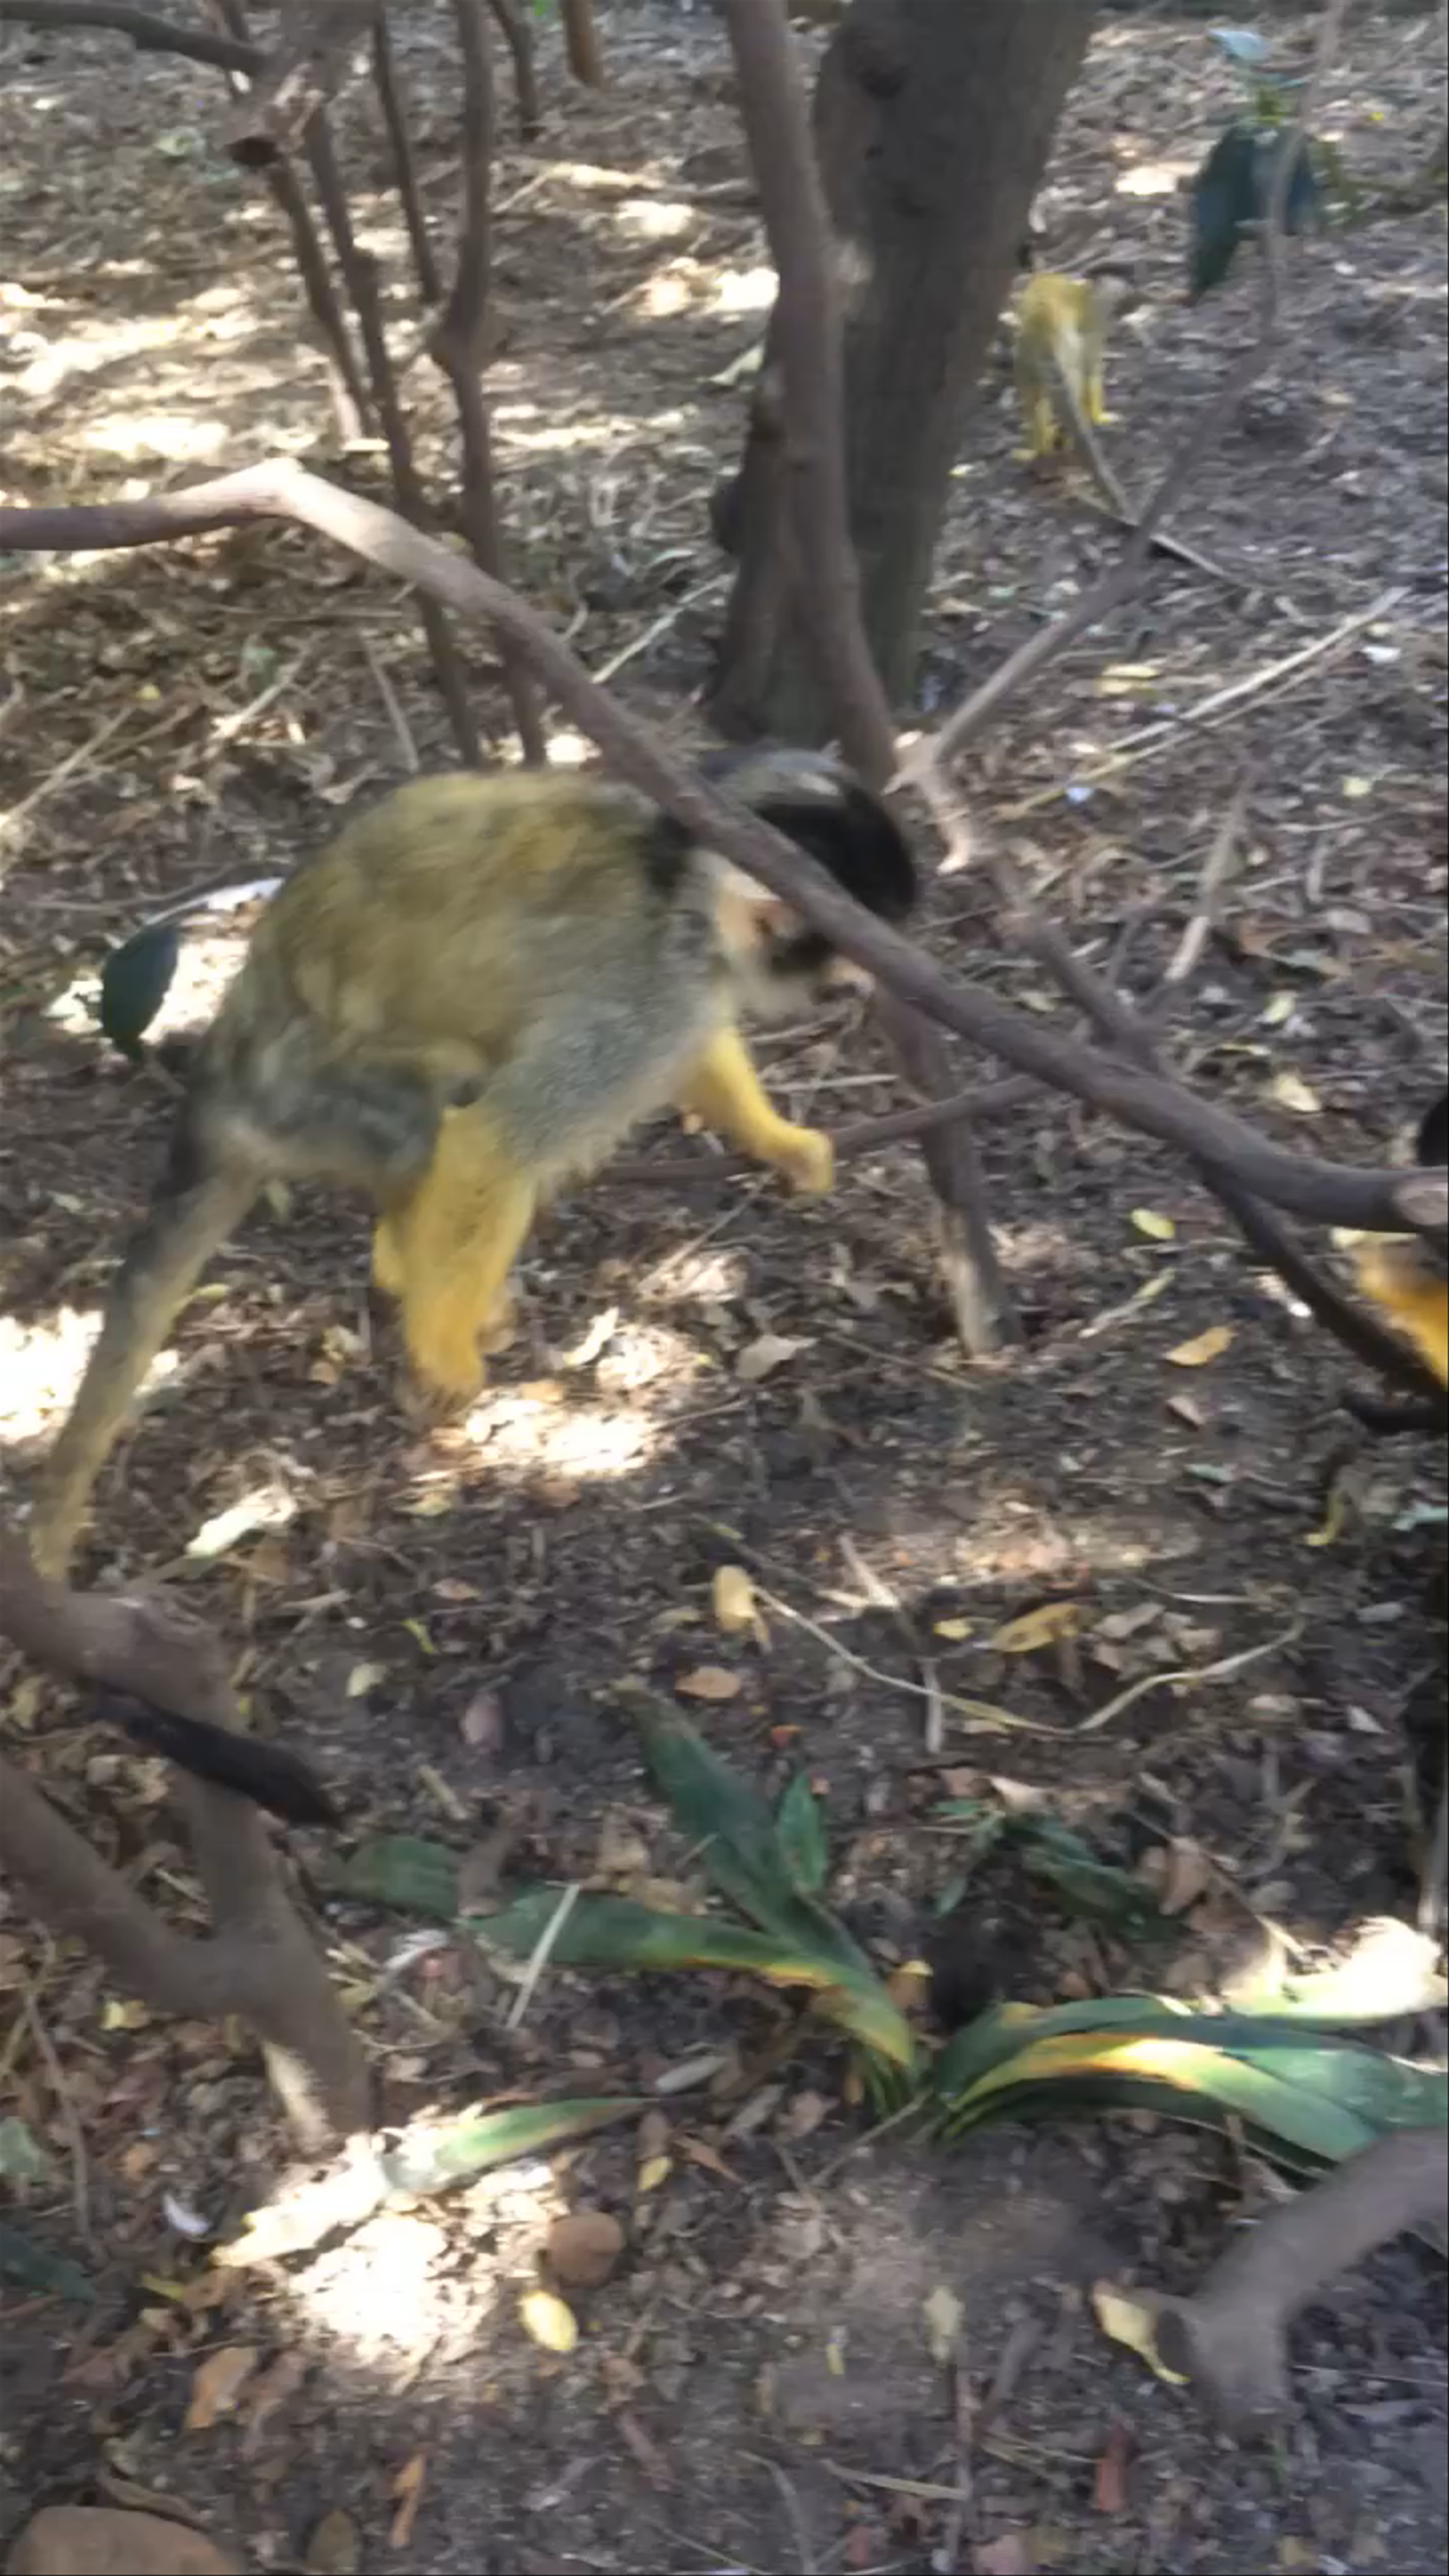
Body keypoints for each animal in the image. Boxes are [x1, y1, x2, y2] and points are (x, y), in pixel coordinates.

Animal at [29, 747, 918, 1578]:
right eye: (837, 953)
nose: (862, 985)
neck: (680, 882)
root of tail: (223, 1073)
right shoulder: (651, 990)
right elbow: (497, 1139)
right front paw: (438, 1347)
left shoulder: (685, 986)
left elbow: (697, 1052)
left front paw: (779, 1141)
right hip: (307, 1097)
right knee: (442, 1103)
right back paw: (418, 1277)